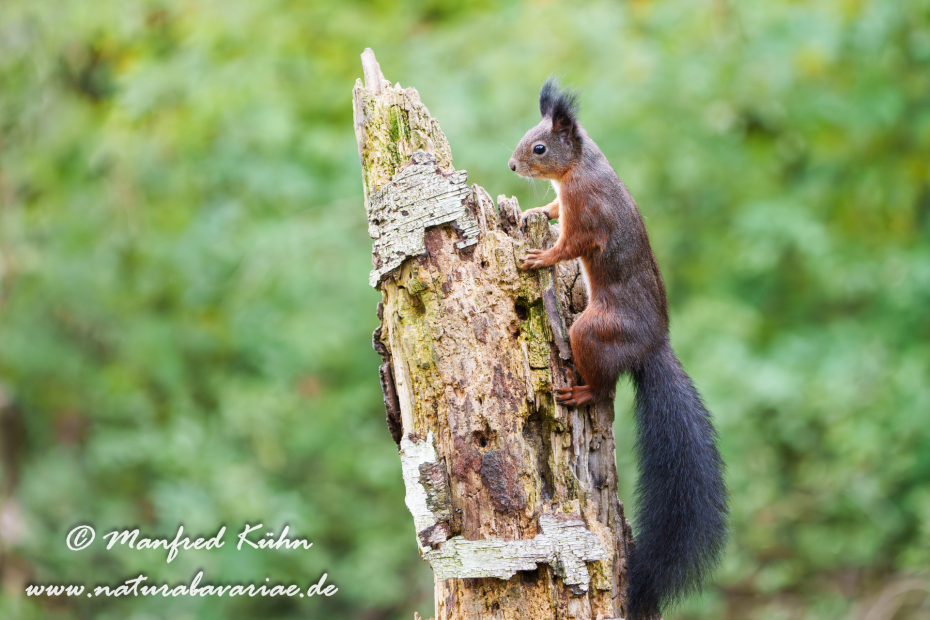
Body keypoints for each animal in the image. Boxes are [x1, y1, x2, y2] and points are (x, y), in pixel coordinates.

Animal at [508, 78, 729, 620]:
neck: (579, 169)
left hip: (592, 331)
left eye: (539, 148)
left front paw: (539, 258)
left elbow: (571, 244)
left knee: (606, 388)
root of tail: (651, 347)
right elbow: (551, 213)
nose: (514, 166)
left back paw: (581, 393)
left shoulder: (588, 213)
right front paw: (535, 211)